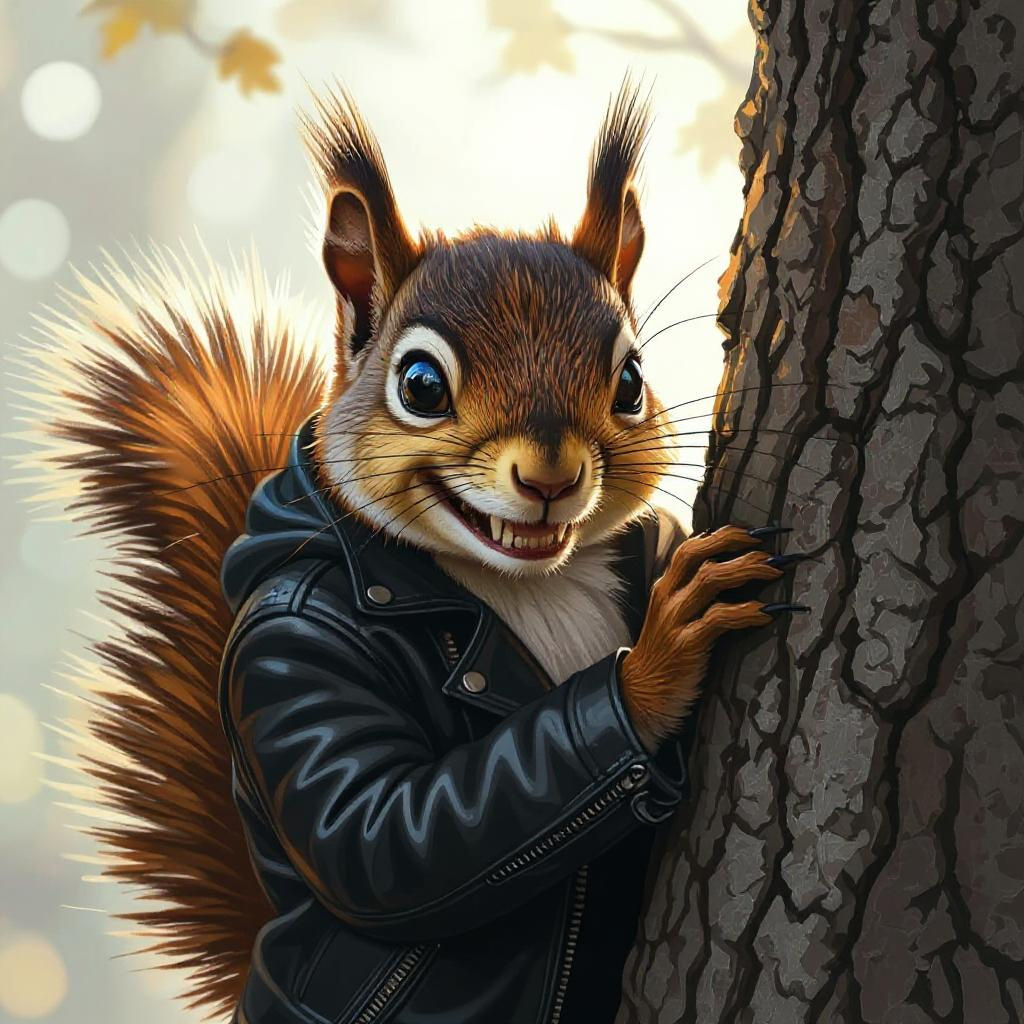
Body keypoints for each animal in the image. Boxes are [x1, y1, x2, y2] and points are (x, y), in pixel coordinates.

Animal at [26, 82, 800, 1024]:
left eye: (630, 381)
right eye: (421, 386)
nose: (551, 476)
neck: (526, 582)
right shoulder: (291, 647)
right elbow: (385, 837)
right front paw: (665, 649)